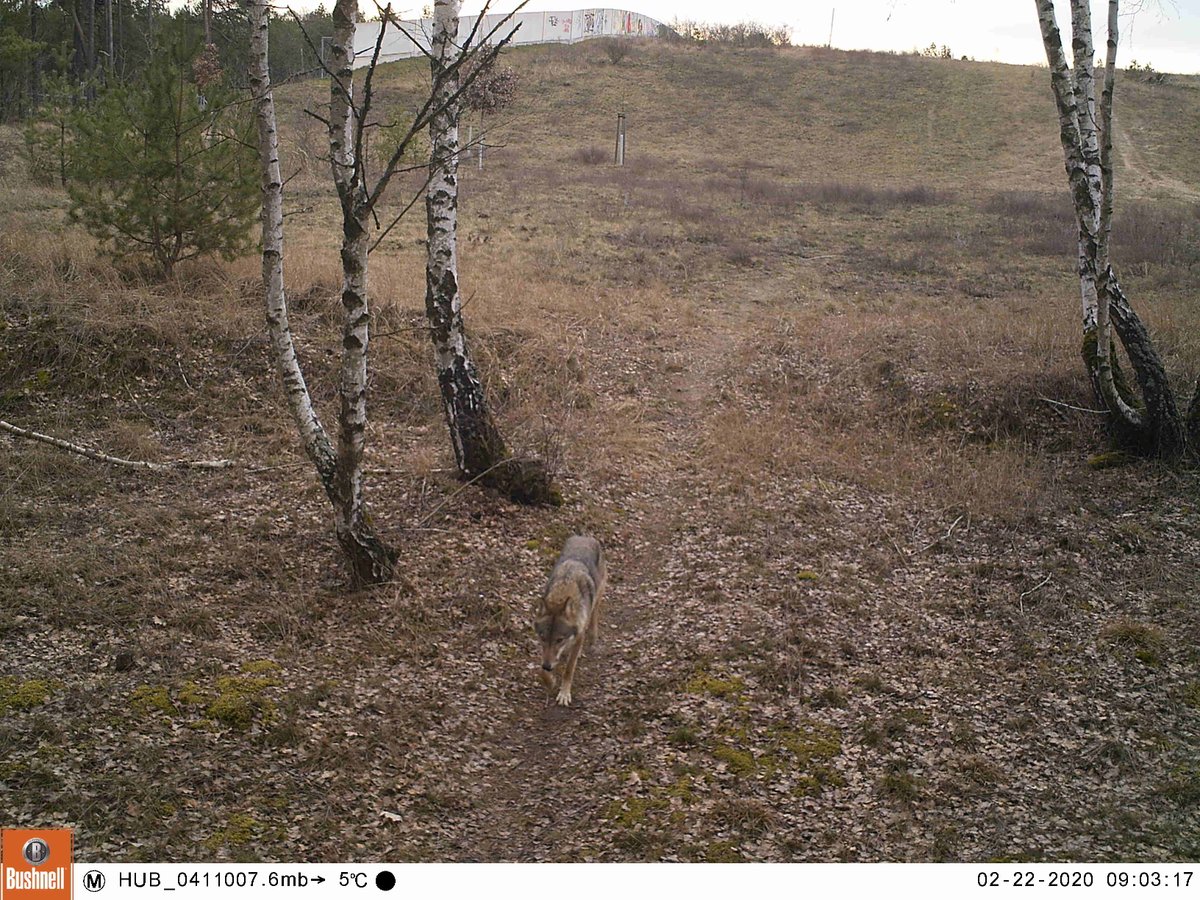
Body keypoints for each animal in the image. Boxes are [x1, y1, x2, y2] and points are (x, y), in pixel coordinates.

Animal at [534, 535, 607, 707]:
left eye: (559, 639)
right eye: (543, 638)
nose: (548, 666)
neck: (564, 590)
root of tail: (584, 536)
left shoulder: (577, 636)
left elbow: (569, 669)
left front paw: (564, 694)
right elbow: (542, 670)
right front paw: (549, 681)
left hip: (597, 597)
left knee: (593, 617)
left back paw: (592, 638)